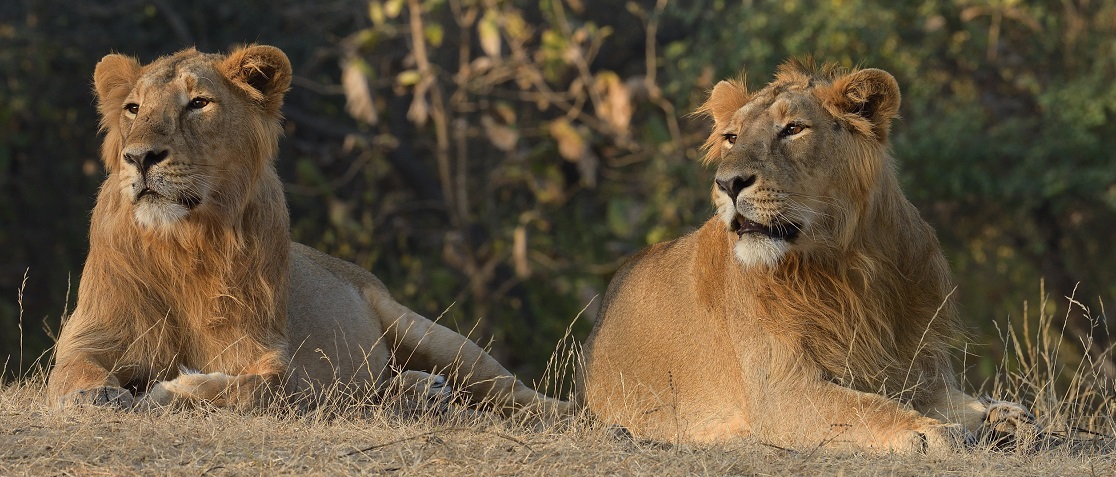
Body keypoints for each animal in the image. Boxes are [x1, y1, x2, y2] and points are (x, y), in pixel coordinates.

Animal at [46, 43, 571, 417]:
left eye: (198, 103)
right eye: (134, 108)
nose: (139, 157)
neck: (184, 243)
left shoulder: (273, 354)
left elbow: (257, 388)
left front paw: (171, 390)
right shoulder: (90, 336)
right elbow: (74, 371)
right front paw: (96, 396)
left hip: (428, 332)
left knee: (516, 392)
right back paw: (419, 392)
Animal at [580, 60, 1040, 455]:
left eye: (793, 129)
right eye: (732, 138)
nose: (727, 183)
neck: (847, 262)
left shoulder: (918, 369)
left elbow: (967, 401)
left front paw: (1008, 418)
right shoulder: (780, 393)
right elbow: (865, 407)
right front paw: (927, 430)